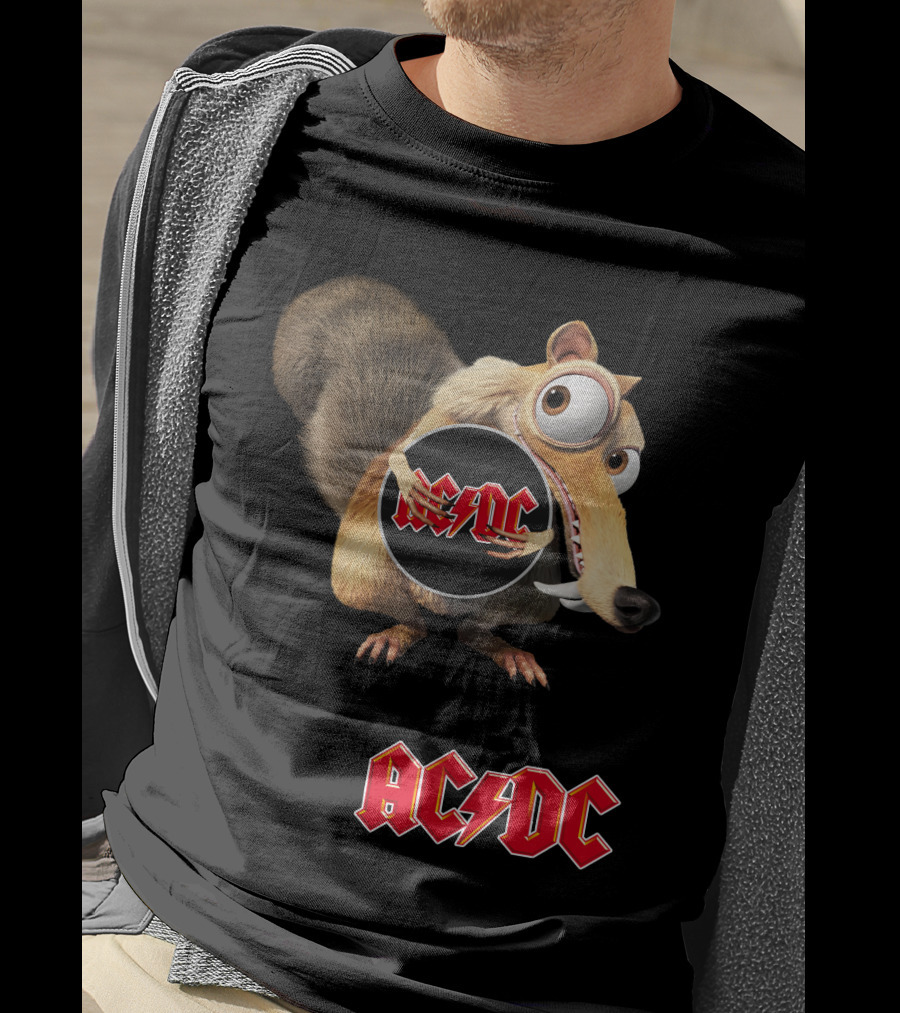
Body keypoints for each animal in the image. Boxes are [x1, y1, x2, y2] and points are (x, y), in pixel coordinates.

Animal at [273, 275, 659, 688]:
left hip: (528, 598)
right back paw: (400, 632)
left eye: (619, 461)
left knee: (473, 630)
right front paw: (407, 481)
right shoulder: (462, 405)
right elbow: (406, 448)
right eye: (557, 398)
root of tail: (445, 608)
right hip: (364, 577)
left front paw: (534, 540)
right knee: (410, 617)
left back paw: (504, 649)